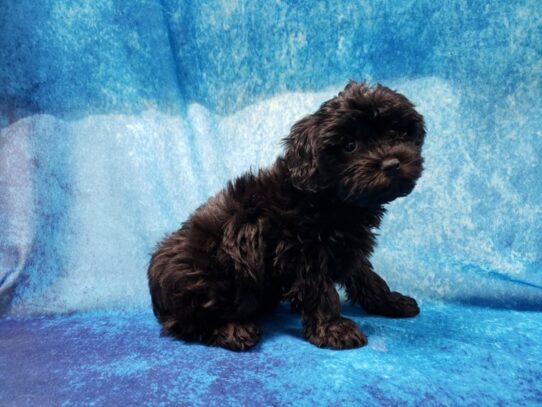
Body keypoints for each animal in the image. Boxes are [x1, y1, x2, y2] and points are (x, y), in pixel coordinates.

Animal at [148, 80, 424, 350]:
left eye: (395, 133)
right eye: (349, 146)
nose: (391, 164)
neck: (329, 198)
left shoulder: (347, 246)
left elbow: (366, 276)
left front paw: (391, 302)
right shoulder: (300, 251)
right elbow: (320, 291)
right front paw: (333, 328)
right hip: (206, 278)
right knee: (186, 324)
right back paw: (233, 331)